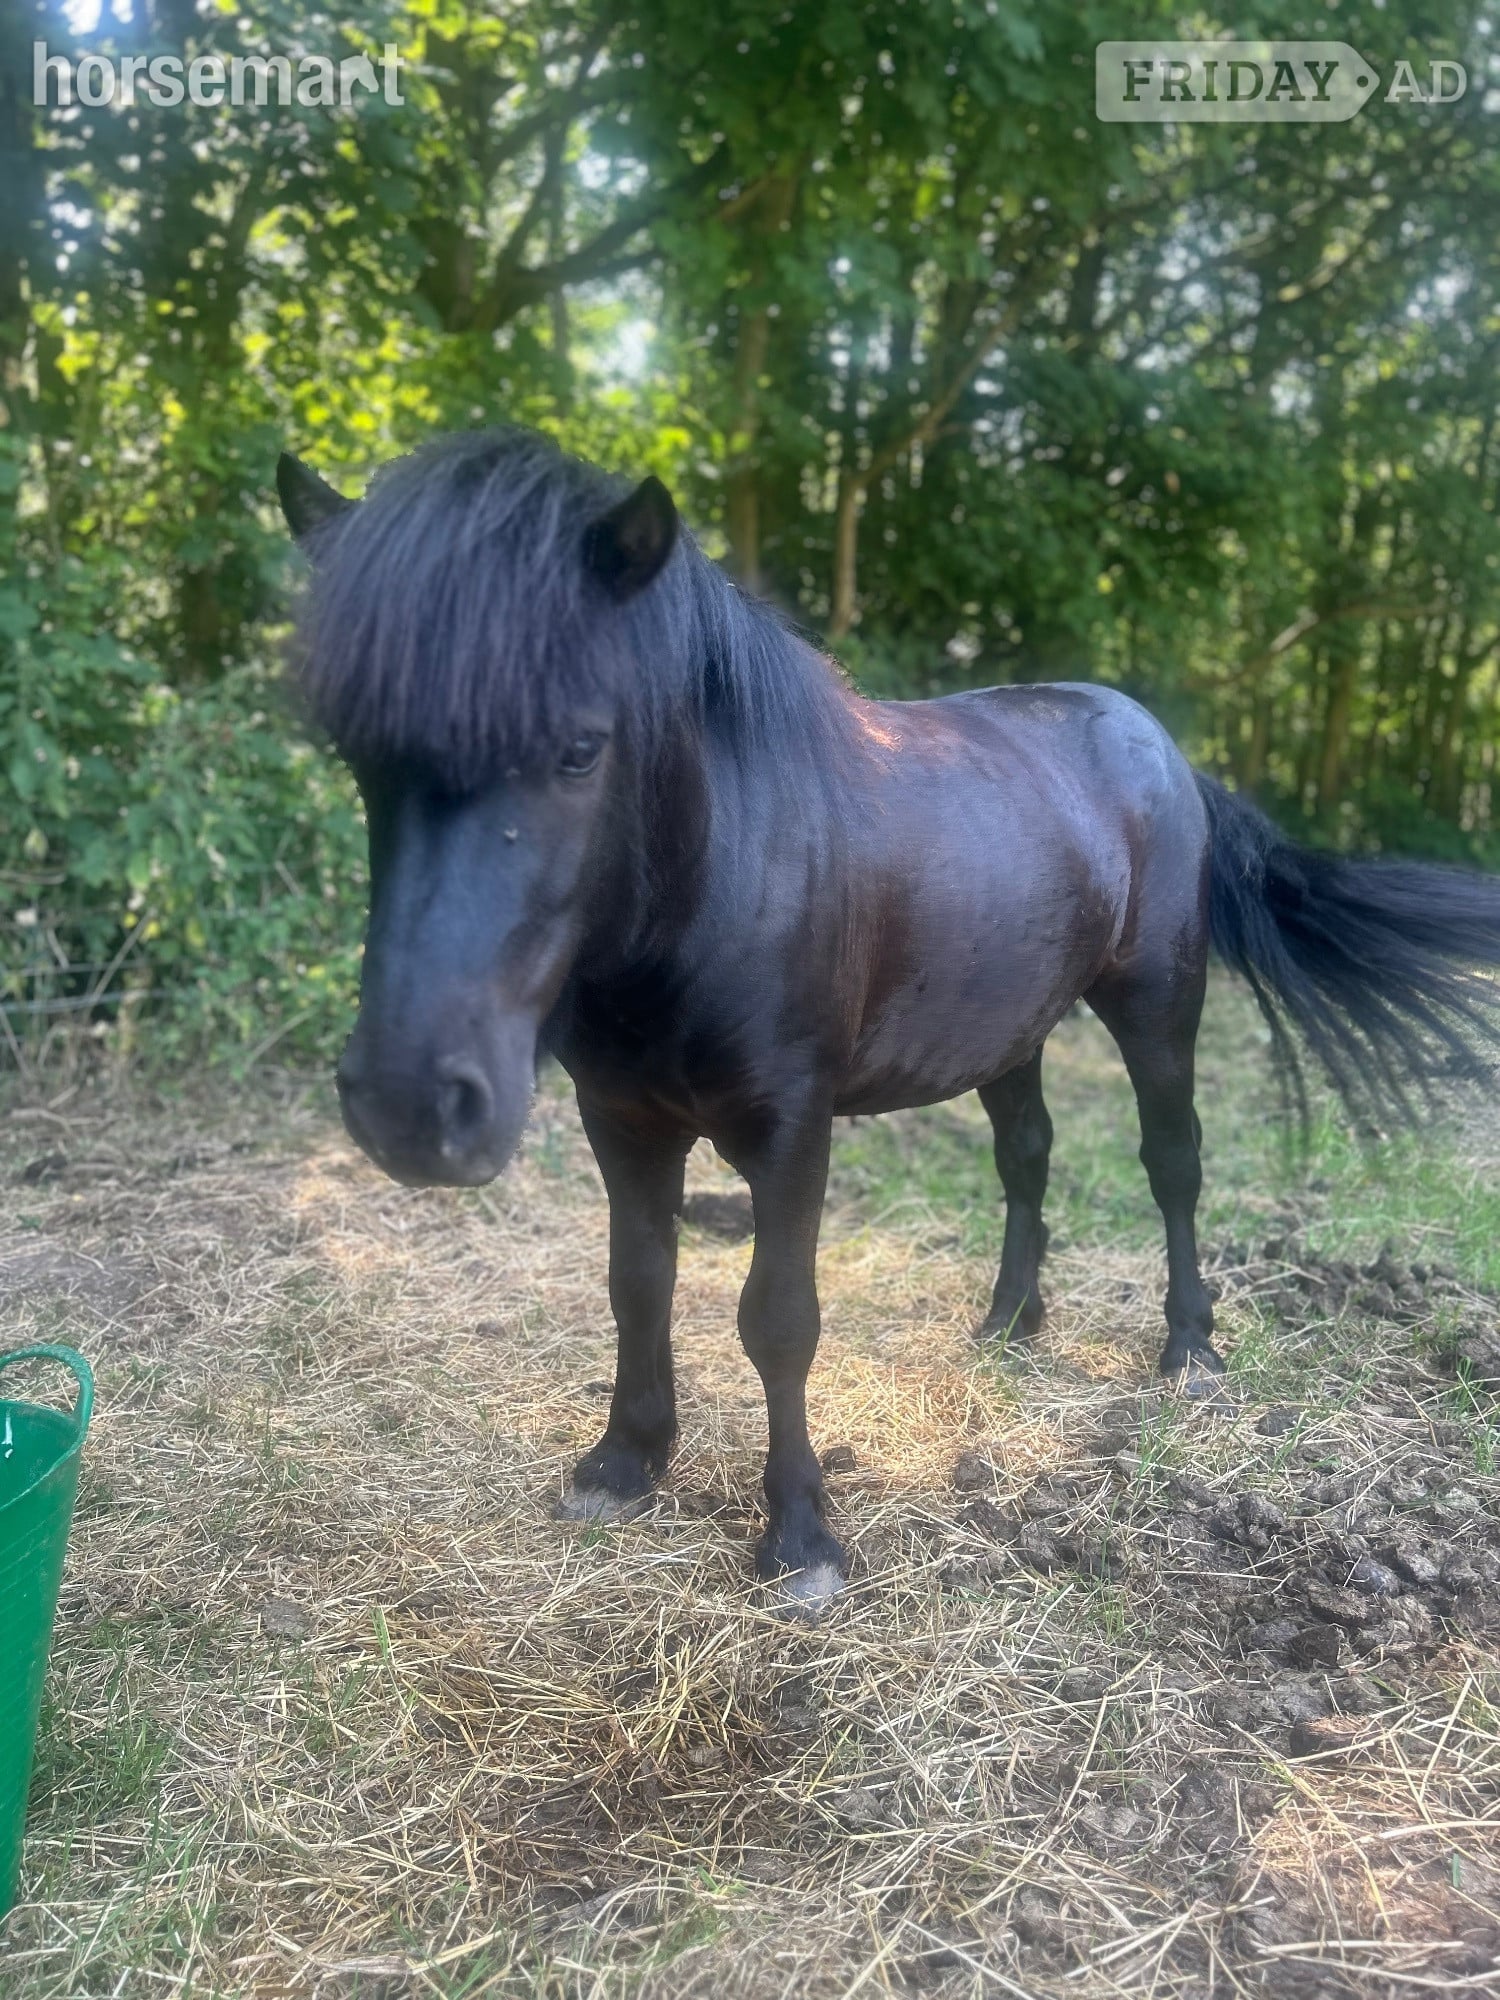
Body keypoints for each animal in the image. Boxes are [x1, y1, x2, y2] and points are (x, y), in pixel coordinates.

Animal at [277, 427, 1500, 1606]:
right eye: (355, 753)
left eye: (581, 747)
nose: (408, 1103)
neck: (721, 872)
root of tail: (1157, 744)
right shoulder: (620, 1118)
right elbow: (639, 1285)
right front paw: (625, 1461)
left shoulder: (789, 1127)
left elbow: (778, 1316)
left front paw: (800, 1534)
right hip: (1012, 1029)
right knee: (1027, 1156)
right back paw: (1009, 1322)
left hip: (1158, 1006)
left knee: (1173, 1164)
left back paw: (1189, 1350)